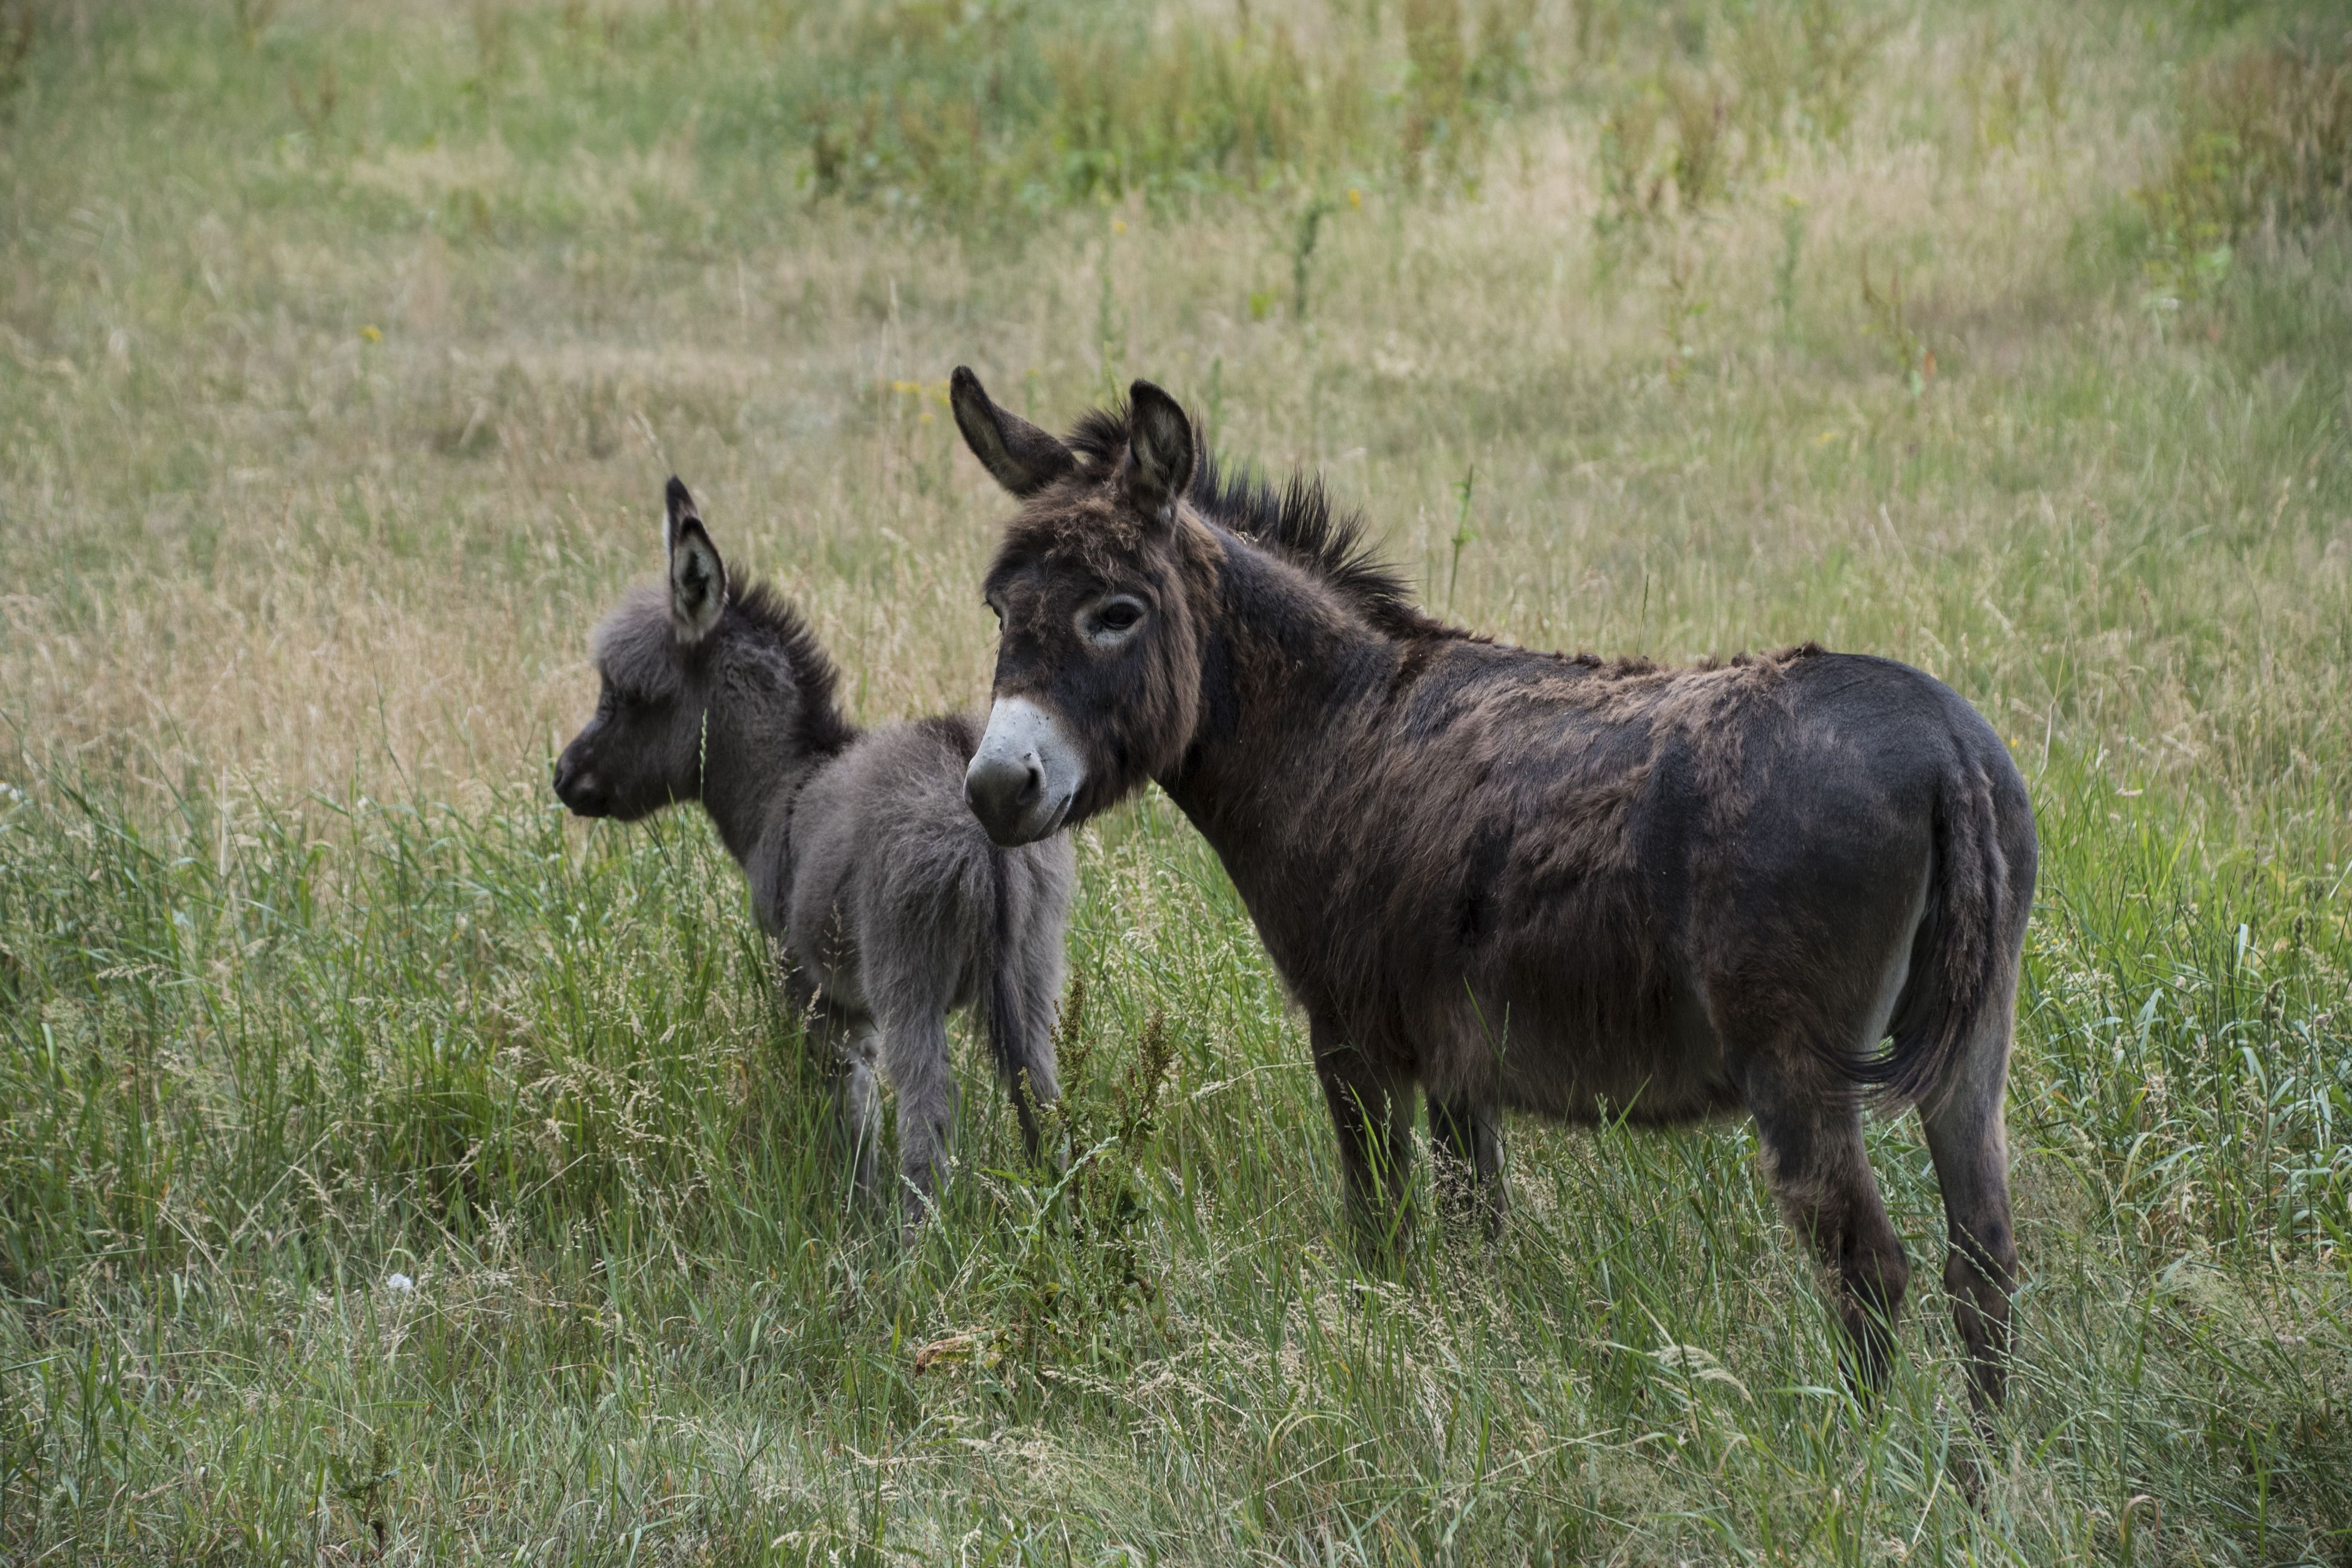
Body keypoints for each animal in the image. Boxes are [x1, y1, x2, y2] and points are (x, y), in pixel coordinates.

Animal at [550, 479, 1077, 1212]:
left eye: (630, 695)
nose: (563, 778)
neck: (788, 782)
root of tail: (985, 823)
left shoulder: (816, 993)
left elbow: (853, 1115)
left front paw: (856, 1214)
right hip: (1032, 981)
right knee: (1049, 1117)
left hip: (909, 984)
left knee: (926, 1130)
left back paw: (921, 1240)